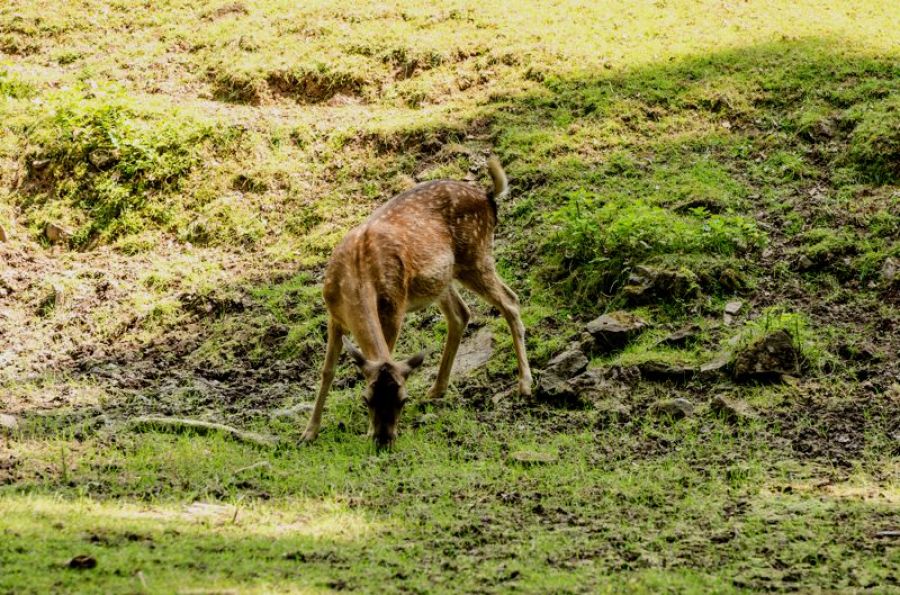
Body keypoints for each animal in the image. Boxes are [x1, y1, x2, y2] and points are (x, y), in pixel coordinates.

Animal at [302, 156, 532, 450]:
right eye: (367, 399)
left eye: (403, 400)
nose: (383, 439)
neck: (354, 278)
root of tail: (488, 196)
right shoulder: (334, 316)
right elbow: (327, 371)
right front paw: (309, 432)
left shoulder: (394, 307)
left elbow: (385, 352)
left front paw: (365, 430)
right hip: (444, 279)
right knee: (462, 313)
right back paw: (437, 389)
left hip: (477, 256)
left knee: (510, 301)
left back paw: (525, 384)